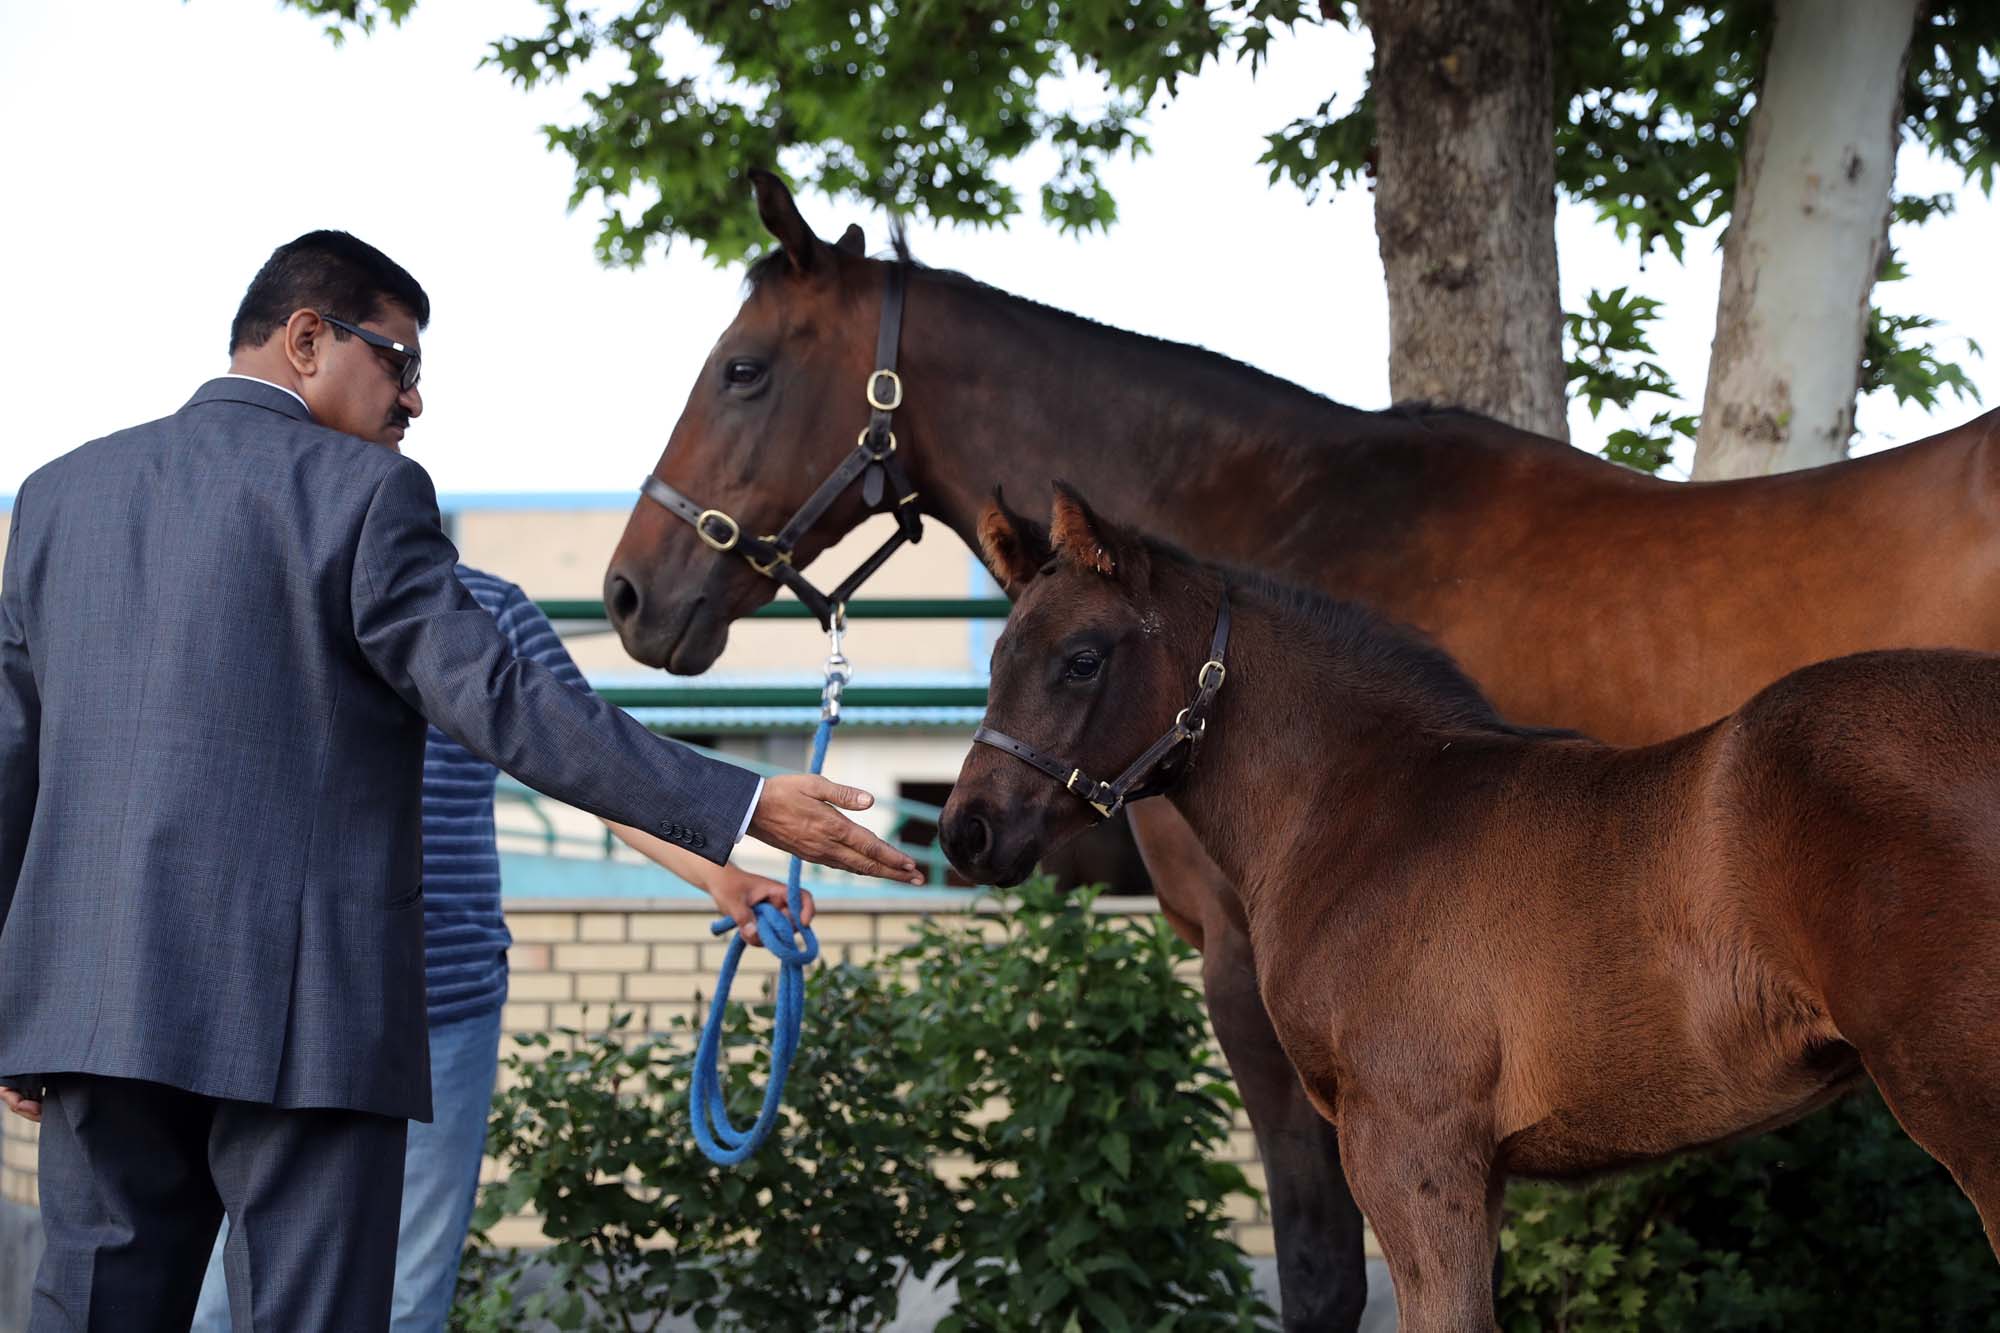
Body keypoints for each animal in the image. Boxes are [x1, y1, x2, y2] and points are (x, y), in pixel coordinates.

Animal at [936, 480, 2000, 1328]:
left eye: (1081, 658)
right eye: (993, 660)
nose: (966, 831)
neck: (1364, 806)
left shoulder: (1409, 1145)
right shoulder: (1474, 1168)